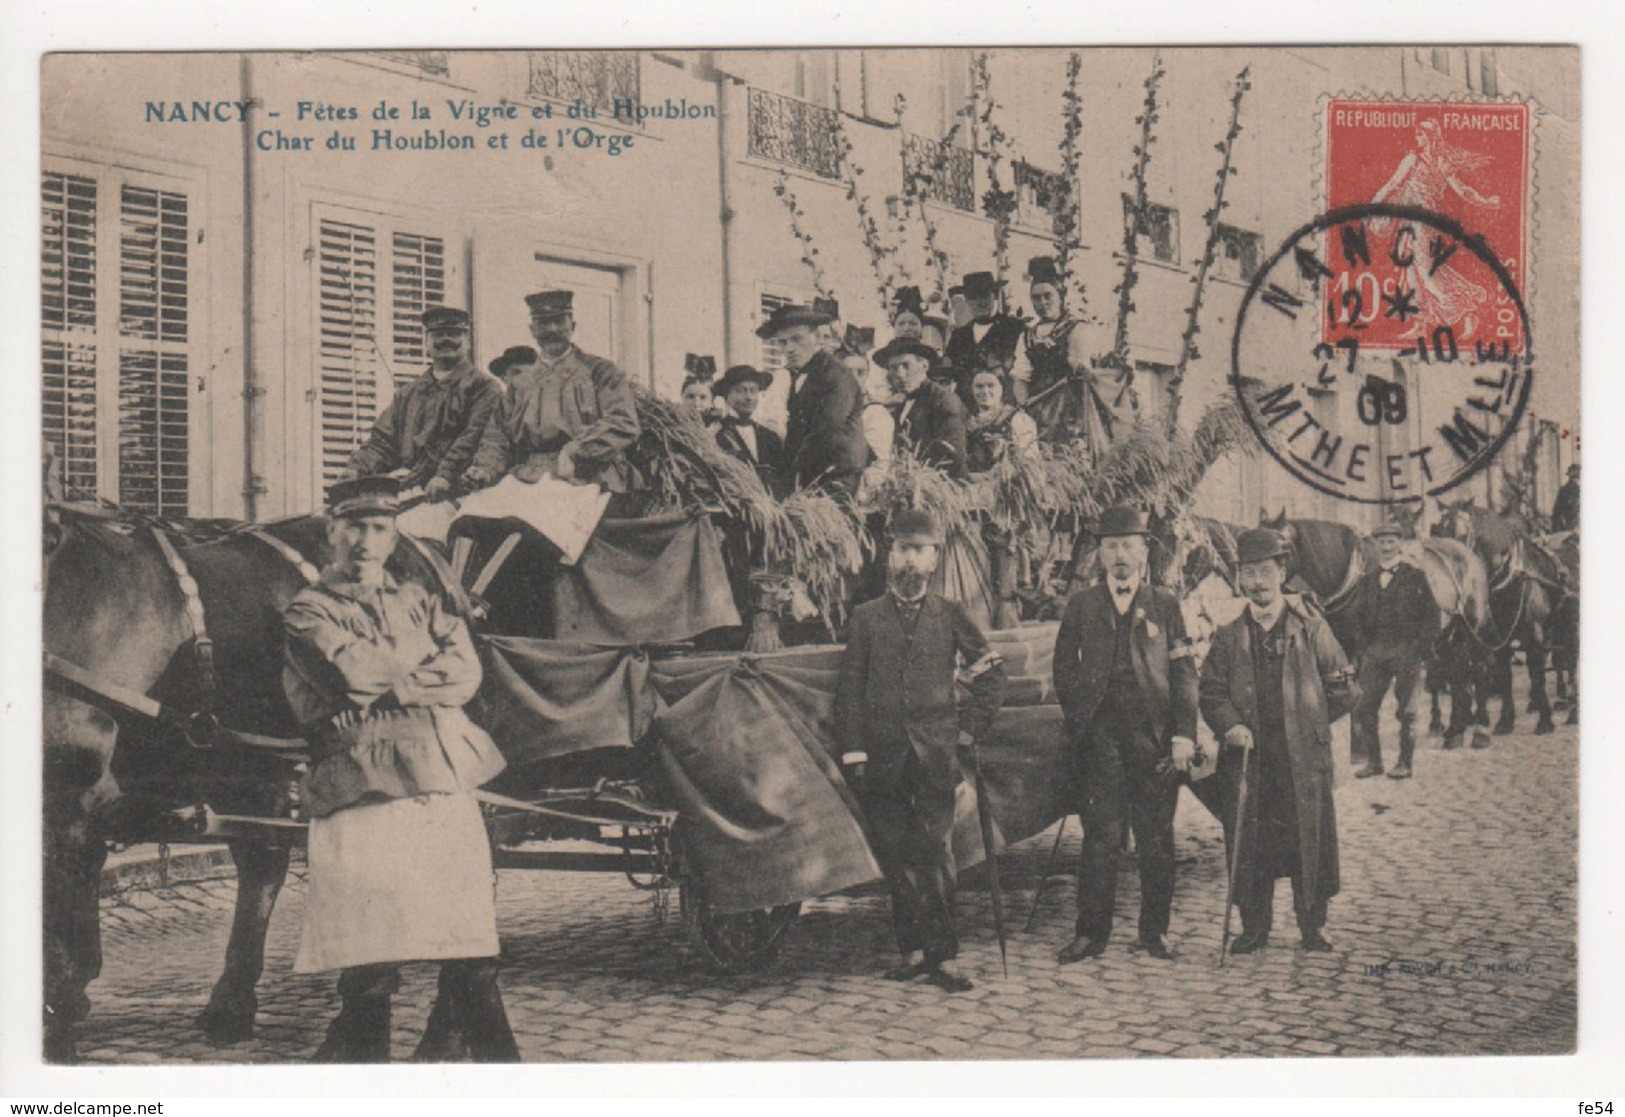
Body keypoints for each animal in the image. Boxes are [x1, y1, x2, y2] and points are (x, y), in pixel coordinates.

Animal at [44, 507, 451, 1066]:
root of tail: (425, 550)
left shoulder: (68, 794)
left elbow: (61, 908)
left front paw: (60, 1022)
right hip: (251, 760)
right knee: (265, 862)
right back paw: (240, 1003)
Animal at [1254, 513, 1495, 751]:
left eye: (1280, 548)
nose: (1253, 586)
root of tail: (1468, 554)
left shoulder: (1359, 652)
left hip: (1474, 626)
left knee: (1478, 669)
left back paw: (1480, 730)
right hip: (1447, 636)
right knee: (1456, 672)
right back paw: (1455, 730)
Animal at [1436, 497, 1573, 734]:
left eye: (1461, 535)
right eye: (1437, 533)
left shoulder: (1536, 637)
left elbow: (1537, 675)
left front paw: (1545, 720)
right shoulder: (1498, 640)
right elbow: (1504, 675)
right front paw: (1505, 721)